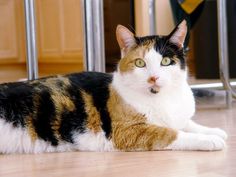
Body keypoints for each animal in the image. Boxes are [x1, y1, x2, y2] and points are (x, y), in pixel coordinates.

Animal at [0, 20, 227, 153]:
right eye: (140, 63)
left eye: (165, 61)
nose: (153, 78)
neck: (162, 98)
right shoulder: (127, 131)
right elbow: (172, 133)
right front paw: (210, 140)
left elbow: (186, 123)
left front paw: (216, 131)